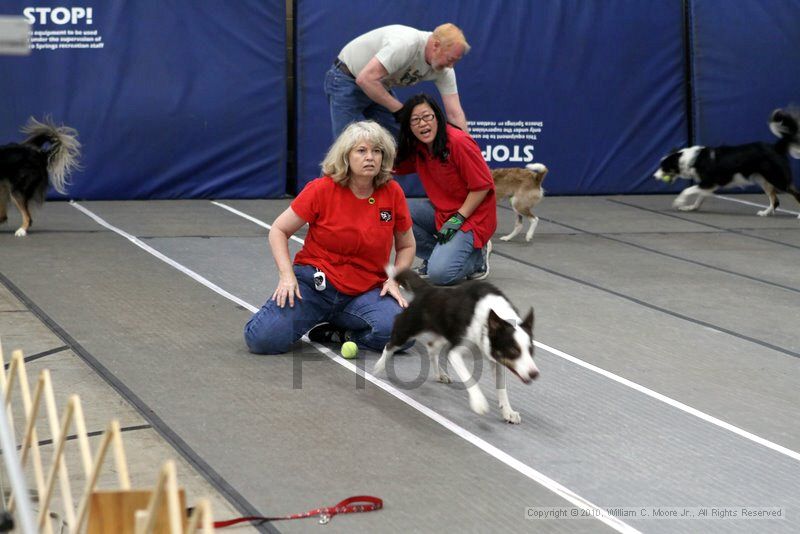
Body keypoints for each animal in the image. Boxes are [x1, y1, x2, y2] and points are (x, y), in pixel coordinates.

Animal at [374, 270, 536, 426]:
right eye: (514, 351)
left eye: (531, 351)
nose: (534, 373)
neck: (488, 320)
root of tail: (428, 289)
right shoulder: (456, 352)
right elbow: (469, 378)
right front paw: (479, 403)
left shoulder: (495, 357)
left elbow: (502, 389)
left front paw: (509, 412)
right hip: (409, 326)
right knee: (390, 345)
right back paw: (379, 367)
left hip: (443, 333)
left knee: (431, 346)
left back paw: (440, 374)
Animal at [656, 108, 800, 217]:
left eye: (663, 167)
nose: (654, 176)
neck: (689, 159)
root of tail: (776, 147)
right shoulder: (708, 186)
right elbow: (699, 198)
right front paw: (690, 207)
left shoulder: (708, 182)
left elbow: (687, 190)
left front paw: (679, 202)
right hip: (763, 180)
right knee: (775, 201)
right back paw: (765, 213)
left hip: (778, 179)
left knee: (795, 194)